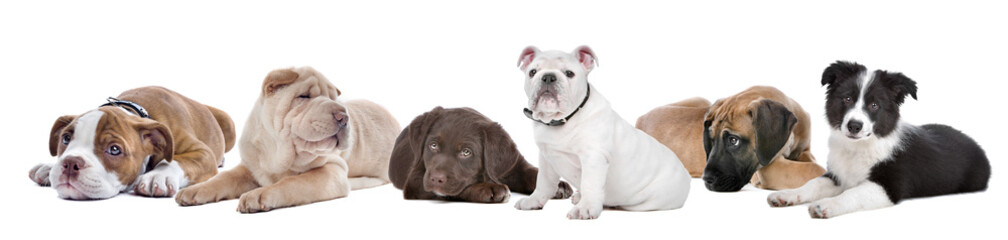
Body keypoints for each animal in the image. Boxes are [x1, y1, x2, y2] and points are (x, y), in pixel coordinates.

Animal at [28, 85, 235, 198]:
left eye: (114, 150)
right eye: (66, 138)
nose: (71, 163)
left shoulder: (203, 153)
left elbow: (175, 160)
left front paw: (158, 176)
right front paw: (48, 167)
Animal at [177, 66, 401, 212]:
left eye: (334, 99)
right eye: (303, 97)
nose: (343, 116)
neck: (278, 152)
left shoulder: (332, 170)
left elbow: (293, 182)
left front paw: (259, 195)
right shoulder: (249, 167)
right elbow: (224, 177)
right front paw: (194, 191)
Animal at [516, 45, 689, 219]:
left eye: (569, 73)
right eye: (532, 72)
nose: (548, 77)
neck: (562, 120)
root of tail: (686, 175)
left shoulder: (593, 157)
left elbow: (589, 184)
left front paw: (584, 208)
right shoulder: (546, 158)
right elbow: (543, 182)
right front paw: (533, 201)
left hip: (650, 201)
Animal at [641, 85, 822, 191]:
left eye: (733, 140)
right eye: (711, 139)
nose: (706, 179)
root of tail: (641, 118)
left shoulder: (804, 151)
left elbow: (811, 163)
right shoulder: (769, 169)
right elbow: (811, 169)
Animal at [766, 61, 987, 218]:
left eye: (874, 105)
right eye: (847, 99)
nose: (854, 126)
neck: (858, 147)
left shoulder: (888, 186)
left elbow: (852, 193)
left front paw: (827, 205)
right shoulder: (838, 175)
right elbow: (813, 183)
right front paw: (785, 195)